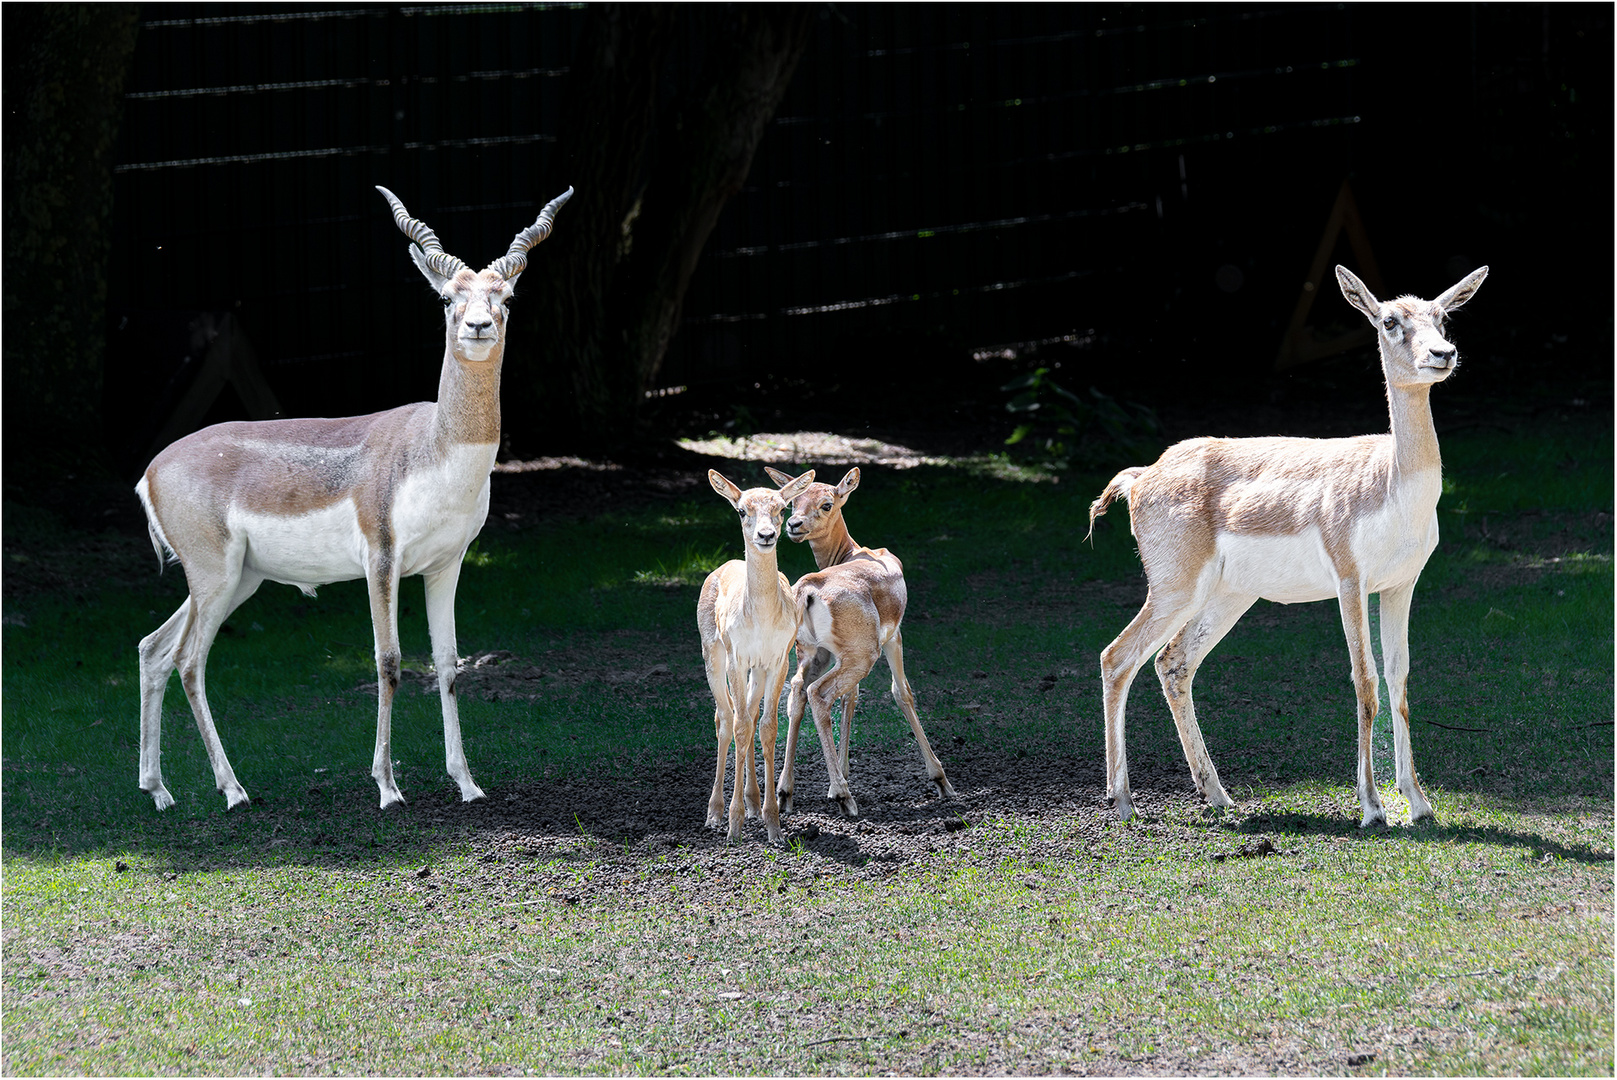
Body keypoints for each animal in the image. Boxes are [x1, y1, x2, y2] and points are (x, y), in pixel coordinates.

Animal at [134, 183, 575, 808]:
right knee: (189, 661)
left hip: (236, 579)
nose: (478, 326)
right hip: (213, 578)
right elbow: (389, 662)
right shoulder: (381, 560)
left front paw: (467, 783)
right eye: (446, 299)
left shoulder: (446, 564)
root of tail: (151, 470)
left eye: (506, 297)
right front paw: (388, 787)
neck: (433, 447)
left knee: (153, 649)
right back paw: (233, 791)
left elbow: (448, 665)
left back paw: (159, 791)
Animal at [698, 468, 814, 840]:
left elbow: (765, 726)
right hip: (712, 652)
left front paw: (773, 822)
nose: (766, 535)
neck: (762, 618)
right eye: (741, 510)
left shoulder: (778, 659)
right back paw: (715, 814)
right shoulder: (737, 656)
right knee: (725, 718)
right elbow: (739, 725)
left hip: (758, 670)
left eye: (781, 507)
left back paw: (751, 804)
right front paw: (733, 826)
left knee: (746, 713)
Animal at [763, 465, 950, 818]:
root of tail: (808, 587)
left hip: (813, 654)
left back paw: (785, 792)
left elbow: (851, 699)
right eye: (793, 501)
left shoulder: (832, 654)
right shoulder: (893, 637)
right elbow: (901, 692)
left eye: (826, 503)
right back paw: (842, 795)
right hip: (863, 656)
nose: (793, 526)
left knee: (798, 691)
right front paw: (941, 780)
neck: (856, 552)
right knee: (819, 693)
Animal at [1086, 261, 1487, 827]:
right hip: (1174, 589)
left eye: (1442, 316)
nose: (1442, 354)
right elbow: (1365, 682)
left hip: (1229, 596)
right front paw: (1372, 807)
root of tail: (1144, 475)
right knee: (1116, 658)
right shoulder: (1350, 581)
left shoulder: (1401, 585)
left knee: (1172, 663)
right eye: (1389, 320)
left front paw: (1420, 804)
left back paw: (1219, 795)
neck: (1389, 479)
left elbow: (1400, 682)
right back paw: (1122, 802)